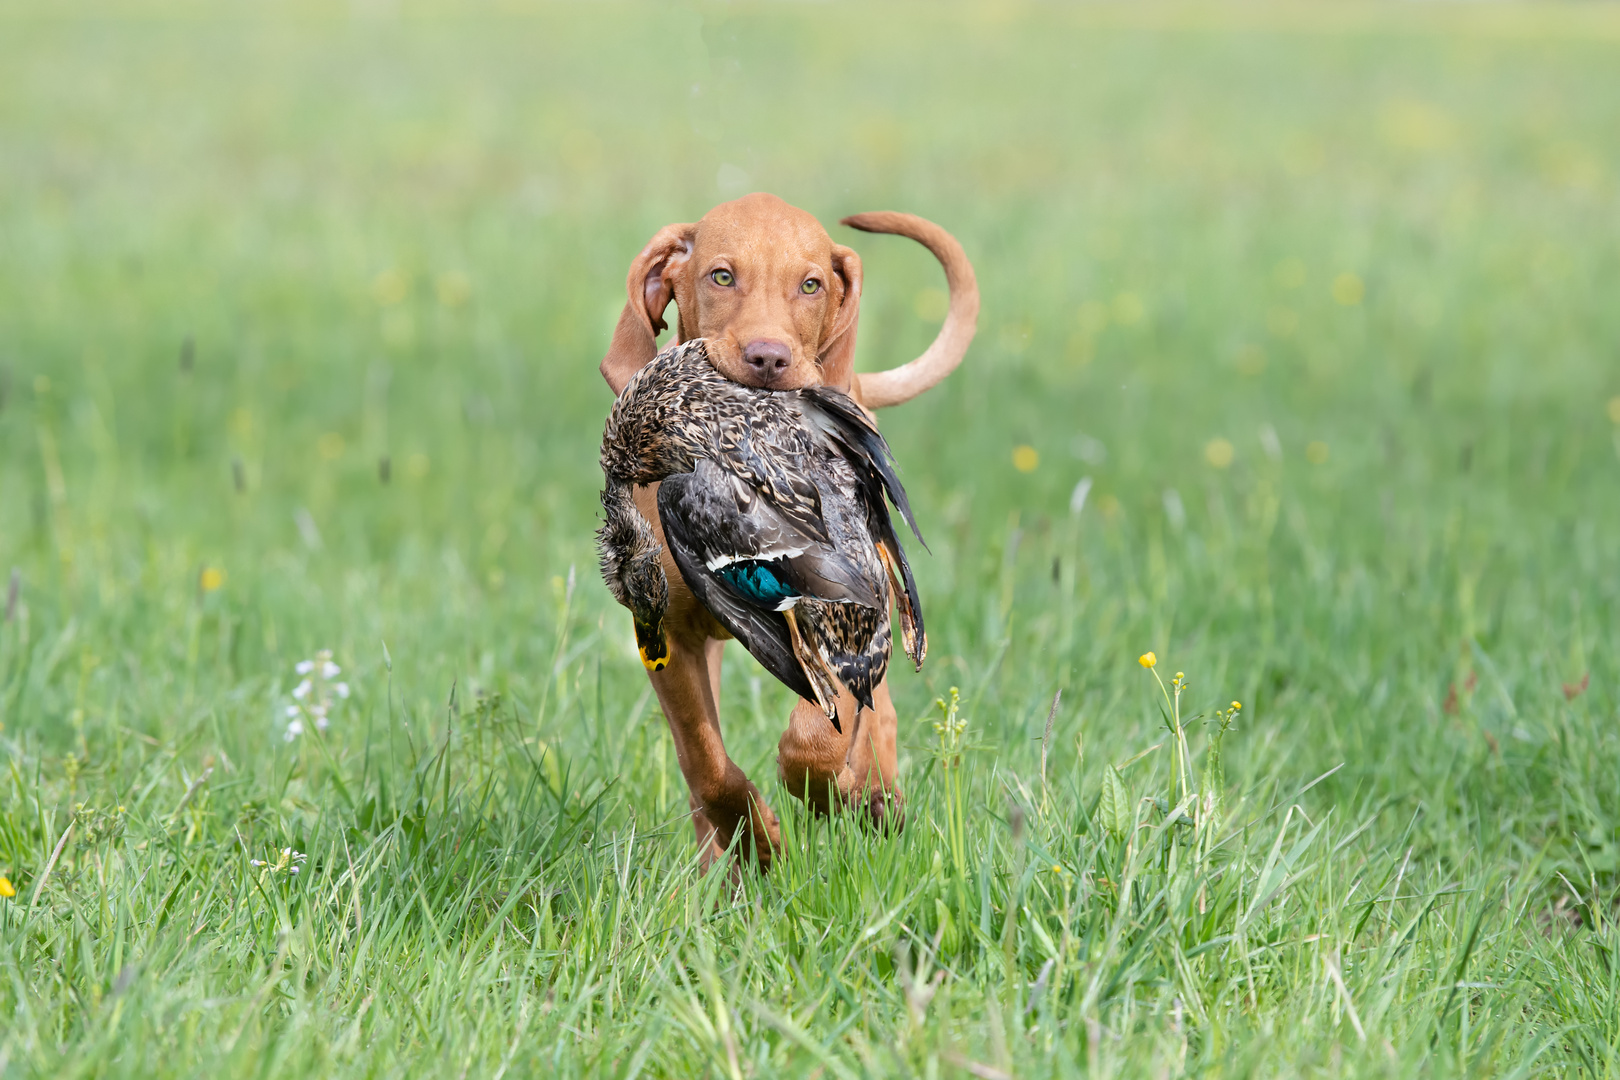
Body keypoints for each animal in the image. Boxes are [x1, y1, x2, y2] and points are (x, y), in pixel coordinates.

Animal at [596, 191, 972, 867]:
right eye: (722, 276)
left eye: (810, 284)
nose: (768, 359)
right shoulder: (670, 637)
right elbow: (706, 764)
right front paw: (756, 842)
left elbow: (815, 742)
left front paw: (835, 795)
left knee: (876, 722)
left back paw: (873, 798)